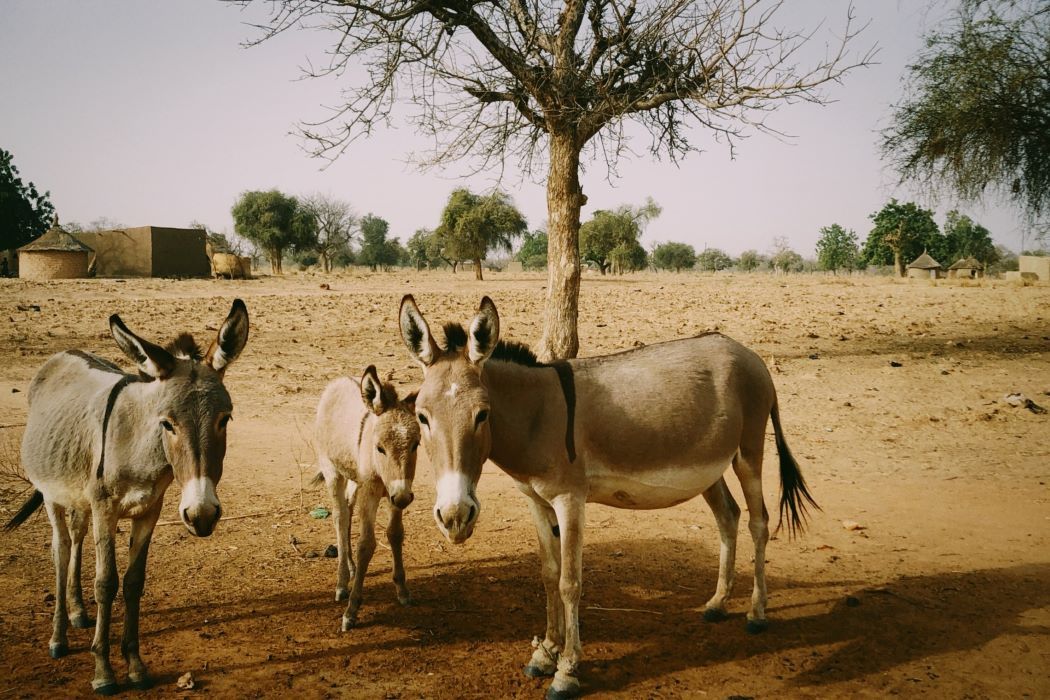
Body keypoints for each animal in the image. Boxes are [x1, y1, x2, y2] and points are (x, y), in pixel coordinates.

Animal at [312, 367, 419, 629]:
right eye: (379, 447)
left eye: (415, 445)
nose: (403, 497)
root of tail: (338, 380)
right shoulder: (371, 491)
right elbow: (366, 544)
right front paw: (351, 610)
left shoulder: (397, 490)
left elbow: (395, 534)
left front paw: (402, 590)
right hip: (332, 471)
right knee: (339, 517)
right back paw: (342, 584)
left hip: (354, 478)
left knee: (348, 510)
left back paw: (350, 567)